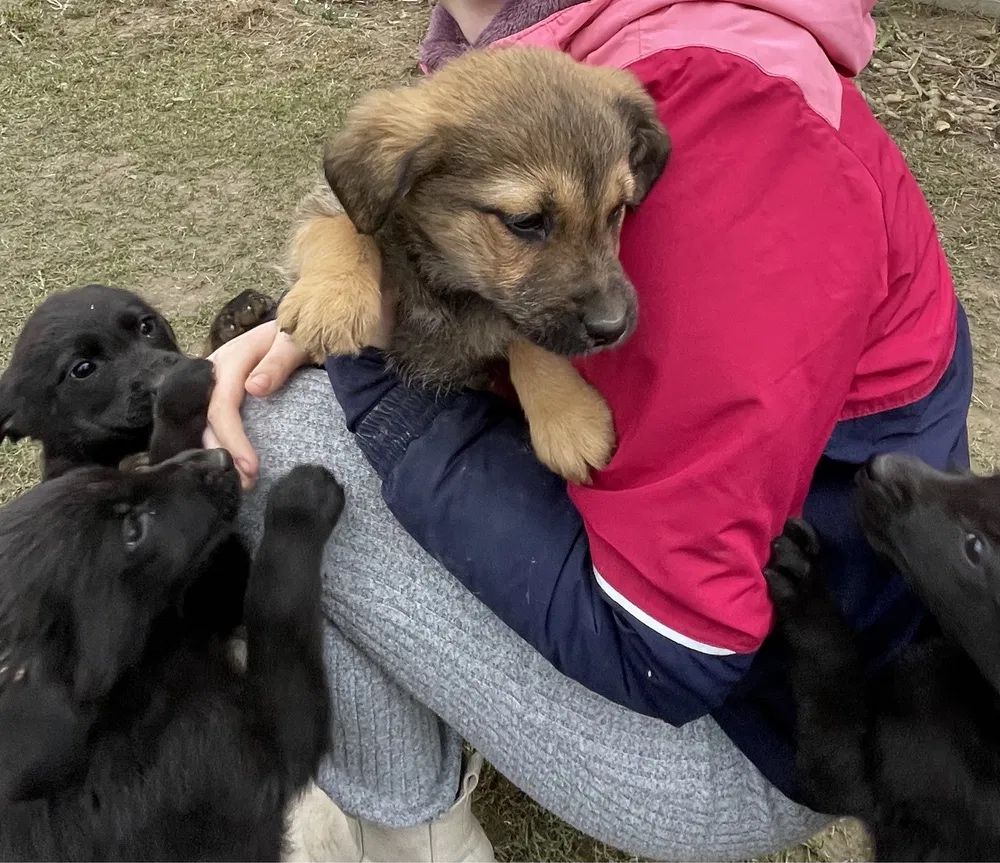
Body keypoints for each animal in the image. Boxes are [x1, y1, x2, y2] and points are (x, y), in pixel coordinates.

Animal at [0, 448, 344, 860]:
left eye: (110, 471)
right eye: (132, 530)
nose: (220, 457)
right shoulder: (242, 752)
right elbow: (276, 601)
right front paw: (302, 499)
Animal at [278, 47, 668, 482]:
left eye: (616, 210)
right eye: (526, 221)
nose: (613, 327)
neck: (447, 276)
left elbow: (524, 333)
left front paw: (566, 416)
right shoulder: (323, 207)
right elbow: (340, 228)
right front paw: (331, 301)